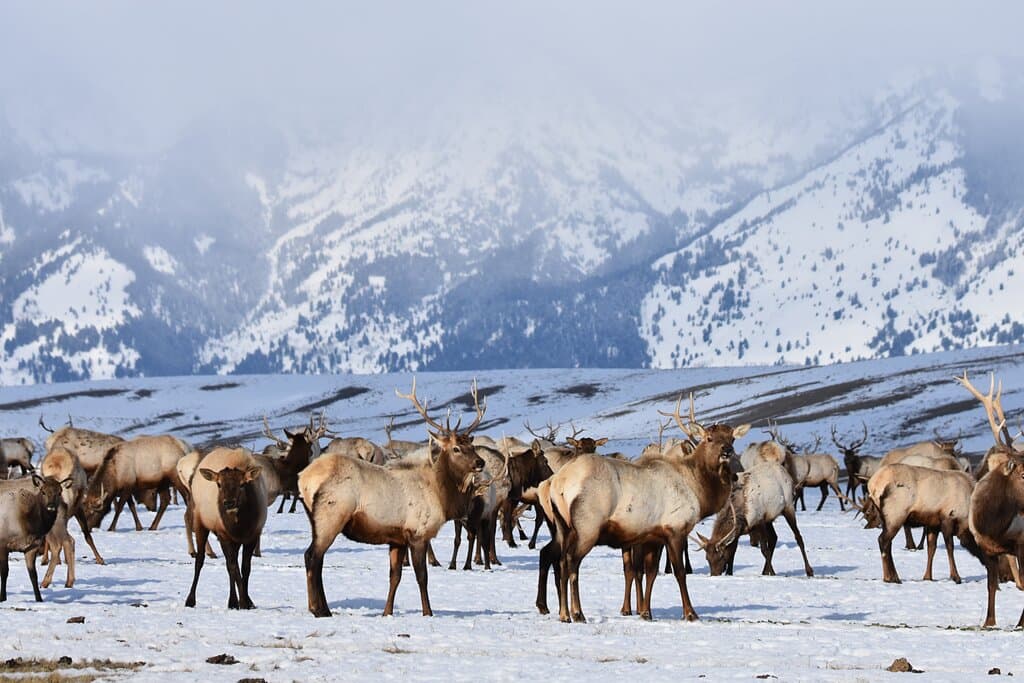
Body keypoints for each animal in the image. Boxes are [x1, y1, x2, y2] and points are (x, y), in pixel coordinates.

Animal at [184, 447, 267, 609]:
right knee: (200, 560)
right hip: (200, 522)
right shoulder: (224, 535)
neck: (240, 525)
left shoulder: (252, 536)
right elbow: (233, 567)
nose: (229, 503)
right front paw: (242, 602)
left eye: (242, 484)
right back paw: (191, 599)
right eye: (219, 484)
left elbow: (245, 568)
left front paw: (247, 601)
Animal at [299, 378, 489, 617]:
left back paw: (321, 607)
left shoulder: (397, 539)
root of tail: (303, 478)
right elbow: (422, 577)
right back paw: (319, 609)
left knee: (317, 558)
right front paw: (428, 612)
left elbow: (395, 577)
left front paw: (387, 612)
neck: (441, 494)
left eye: (471, 446)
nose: (480, 462)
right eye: (456, 448)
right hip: (331, 514)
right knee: (312, 556)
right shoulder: (418, 533)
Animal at [541, 393, 749, 623]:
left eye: (732, 438)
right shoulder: (675, 529)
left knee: (560, 561)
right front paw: (690, 613)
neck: (698, 490)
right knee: (572, 562)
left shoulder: (653, 537)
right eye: (709, 438)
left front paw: (645, 612)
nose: (727, 451)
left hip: (563, 527)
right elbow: (679, 572)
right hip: (587, 526)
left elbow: (651, 573)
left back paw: (564, 613)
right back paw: (577, 613)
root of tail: (557, 483)